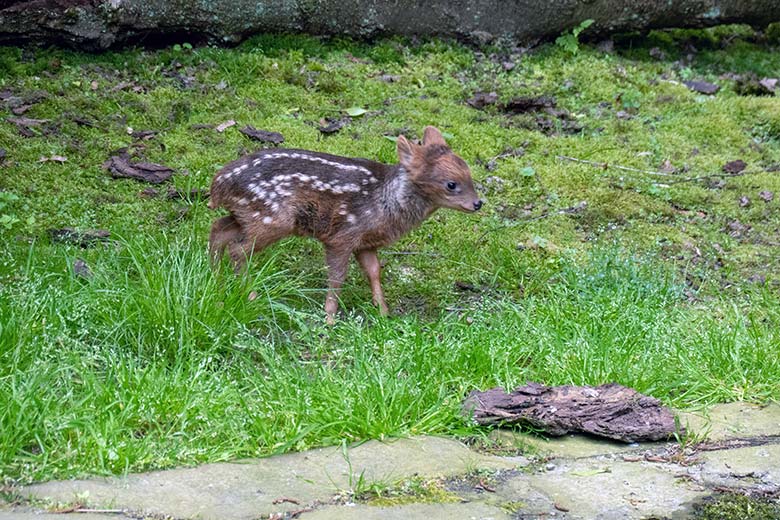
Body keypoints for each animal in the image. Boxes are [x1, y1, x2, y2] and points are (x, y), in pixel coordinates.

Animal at [210, 125, 484, 320]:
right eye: (451, 184)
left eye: (469, 174)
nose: (478, 203)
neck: (385, 201)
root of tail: (218, 185)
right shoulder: (342, 235)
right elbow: (338, 276)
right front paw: (330, 317)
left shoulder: (366, 242)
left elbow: (374, 271)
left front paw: (384, 313)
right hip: (272, 218)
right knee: (237, 249)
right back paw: (251, 294)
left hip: (249, 215)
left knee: (219, 229)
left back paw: (215, 276)